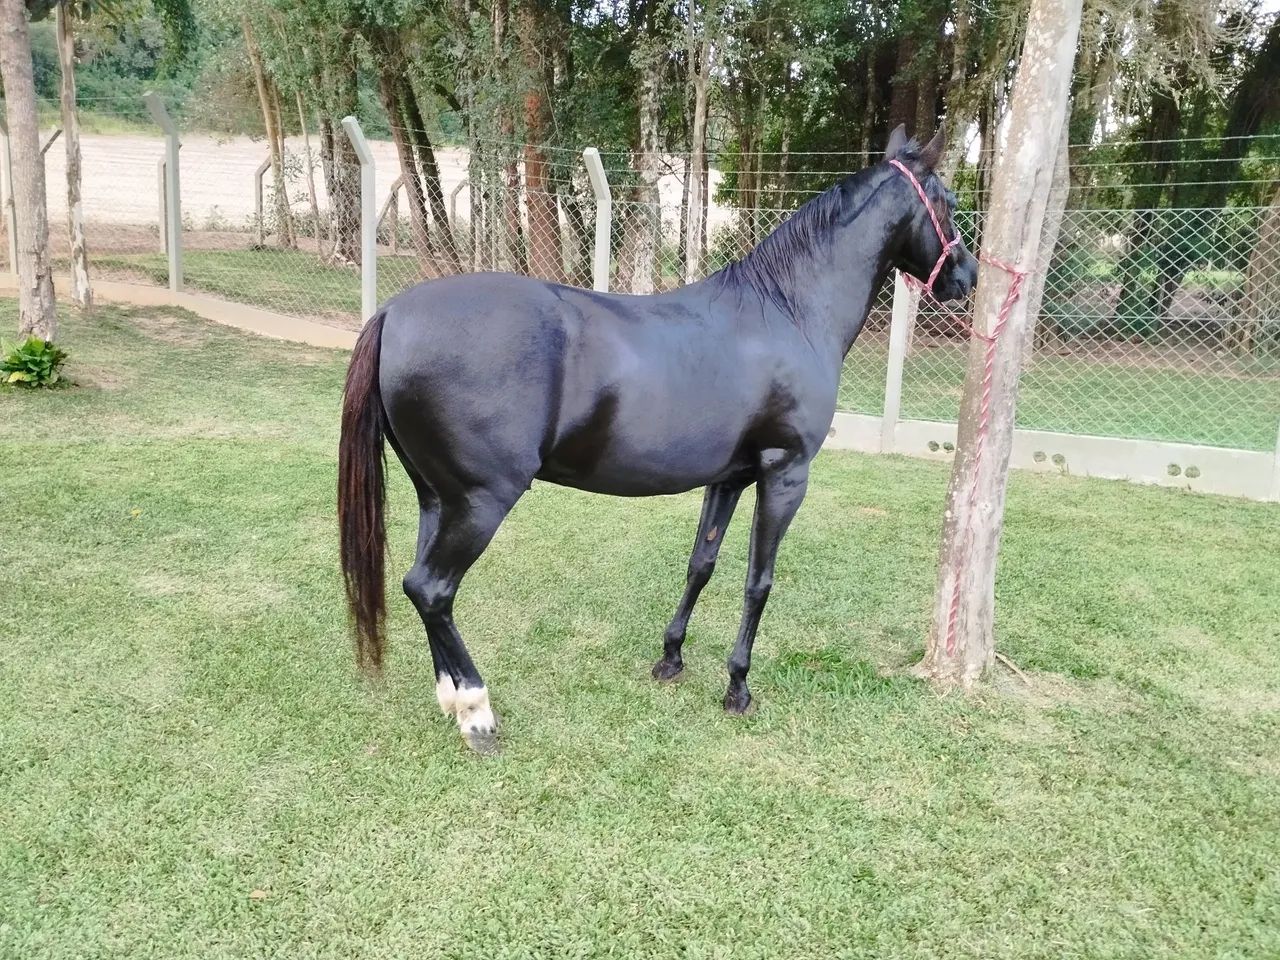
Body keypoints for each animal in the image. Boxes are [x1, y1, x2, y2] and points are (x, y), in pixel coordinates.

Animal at [338, 125, 978, 753]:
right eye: (947, 201)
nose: (967, 276)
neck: (787, 310)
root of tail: (394, 313)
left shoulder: (729, 478)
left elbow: (702, 564)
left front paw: (671, 658)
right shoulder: (785, 474)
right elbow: (758, 582)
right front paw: (737, 687)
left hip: (437, 498)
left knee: (421, 586)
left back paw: (450, 698)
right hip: (480, 501)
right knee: (432, 588)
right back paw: (476, 711)